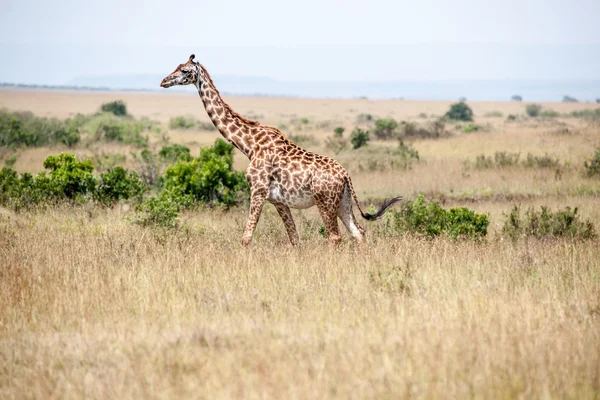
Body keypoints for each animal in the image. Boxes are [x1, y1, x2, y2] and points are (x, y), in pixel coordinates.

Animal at [161, 54, 404, 245]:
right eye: (175, 66)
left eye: (184, 70)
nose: (164, 81)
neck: (249, 145)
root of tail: (346, 175)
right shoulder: (278, 200)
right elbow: (294, 238)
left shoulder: (257, 191)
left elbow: (246, 237)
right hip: (343, 201)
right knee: (358, 232)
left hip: (324, 201)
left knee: (335, 237)